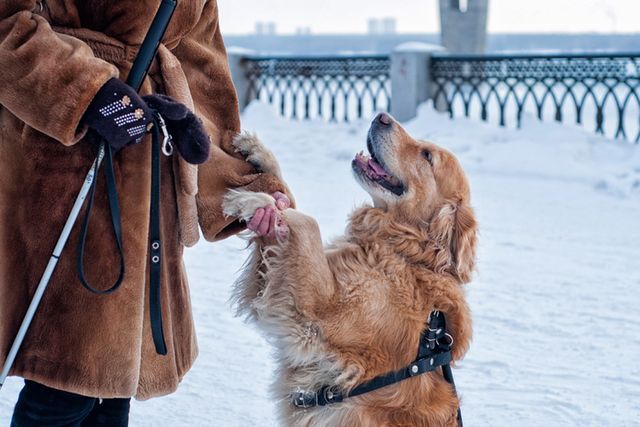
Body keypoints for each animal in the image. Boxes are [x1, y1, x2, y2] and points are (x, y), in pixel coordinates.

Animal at [222, 113, 478, 427]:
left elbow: (307, 221)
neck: (406, 253)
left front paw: (252, 201)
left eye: (427, 155)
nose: (381, 116)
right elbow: (289, 200)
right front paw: (261, 156)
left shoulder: (321, 318)